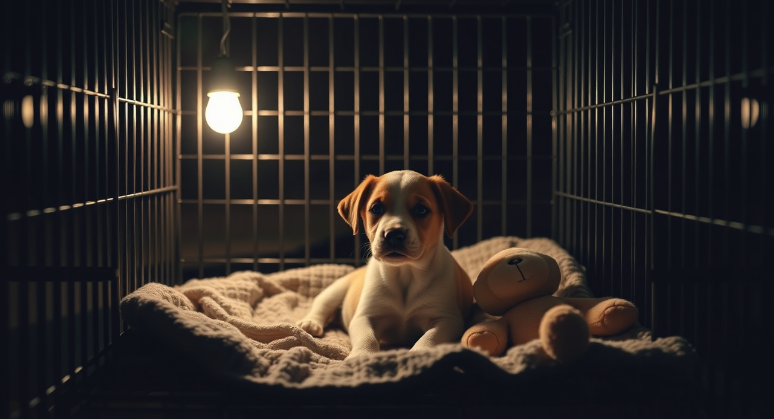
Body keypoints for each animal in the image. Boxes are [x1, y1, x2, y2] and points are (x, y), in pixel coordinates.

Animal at [298, 169, 476, 360]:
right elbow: (367, 338)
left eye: (421, 209)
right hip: (336, 289)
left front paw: (419, 354)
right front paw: (361, 356)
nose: (394, 234)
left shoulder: (447, 319)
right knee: (321, 304)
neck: (404, 273)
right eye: (376, 208)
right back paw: (310, 323)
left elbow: (429, 338)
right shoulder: (364, 317)